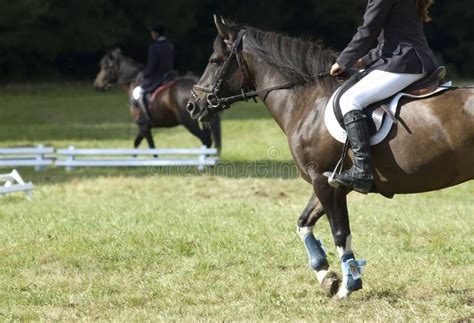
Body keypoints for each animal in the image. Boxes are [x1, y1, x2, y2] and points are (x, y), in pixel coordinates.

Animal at [95, 48, 223, 152]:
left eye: (105, 68)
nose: (97, 85)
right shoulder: (145, 127)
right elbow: (136, 142)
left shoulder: (143, 126)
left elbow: (151, 147)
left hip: (189, 122)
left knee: (206, 139)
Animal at [186, 17, 474, 302]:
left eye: (214, 60)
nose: (192, 105)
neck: (308, 101)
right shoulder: (331, 182)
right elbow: (304, 223)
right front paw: (326, 276)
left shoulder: (324, 183)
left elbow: (340, 233)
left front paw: (348, 285)